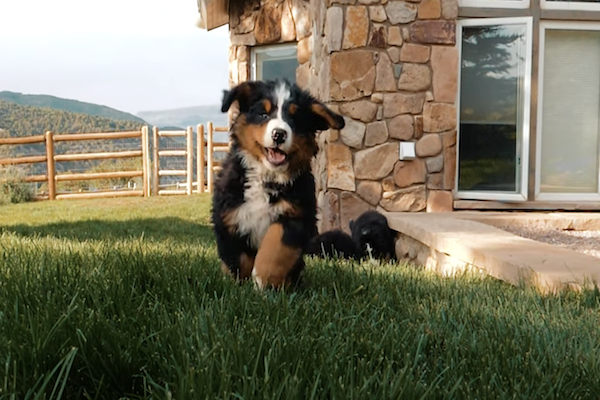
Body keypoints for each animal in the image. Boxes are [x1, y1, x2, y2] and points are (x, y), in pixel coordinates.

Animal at [212, 79, 344, 290]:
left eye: (294, 119)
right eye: (263, 114)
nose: (279, 134)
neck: (267, 176)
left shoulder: (296, 216)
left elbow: (275, 248)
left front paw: (263, 281)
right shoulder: (229, 217)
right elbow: (238, 261)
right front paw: (240, 288)